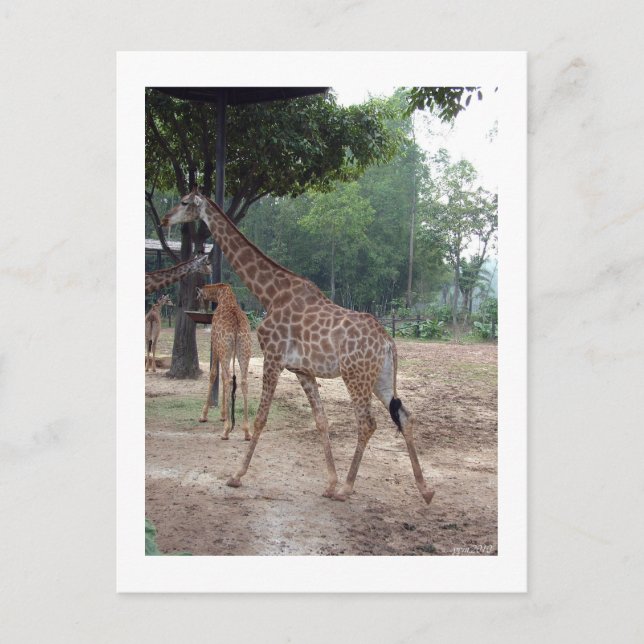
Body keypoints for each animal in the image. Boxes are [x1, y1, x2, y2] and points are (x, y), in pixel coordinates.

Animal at [198, 283, 252, 441]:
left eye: (199, 296)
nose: (201, 308)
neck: (222, 296)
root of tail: (237, 323)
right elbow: (221, 376)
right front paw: (222, 415)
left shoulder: (214, 345)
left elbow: (214, 374)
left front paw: (204, 415)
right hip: (244, 349)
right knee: (243, 381)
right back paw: (247, 431)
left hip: (224, 348)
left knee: (228, 380)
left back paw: (226, 430)